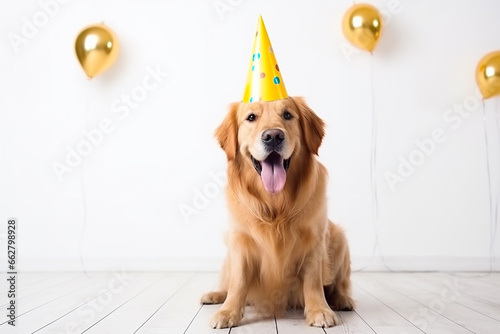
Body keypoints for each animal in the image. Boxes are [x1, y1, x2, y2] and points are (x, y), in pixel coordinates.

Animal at [201, 96, 354, 328]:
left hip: (339, 239)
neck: (275, 205)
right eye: (251, 117)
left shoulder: (314, 241)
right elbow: (238, 281)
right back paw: (215, 295)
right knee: (227, 282)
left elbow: (313, 281)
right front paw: (228, 312)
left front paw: (319, 310)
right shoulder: (240, 240)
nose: (273, 136)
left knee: (339, 285)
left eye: (288, 115)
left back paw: (342, 299)